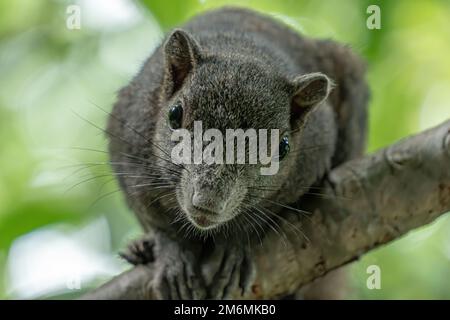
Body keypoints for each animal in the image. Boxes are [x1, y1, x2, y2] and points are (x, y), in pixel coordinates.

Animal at [106, 6, 370, 298]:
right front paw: (173, 253)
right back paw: (142, 249)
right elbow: (154, 216)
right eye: (174, 115)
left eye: (282, 147)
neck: (243, 52)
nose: (207, 202)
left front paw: (234, 248)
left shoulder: (311, 157)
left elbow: (256, 221)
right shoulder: (129, 142)